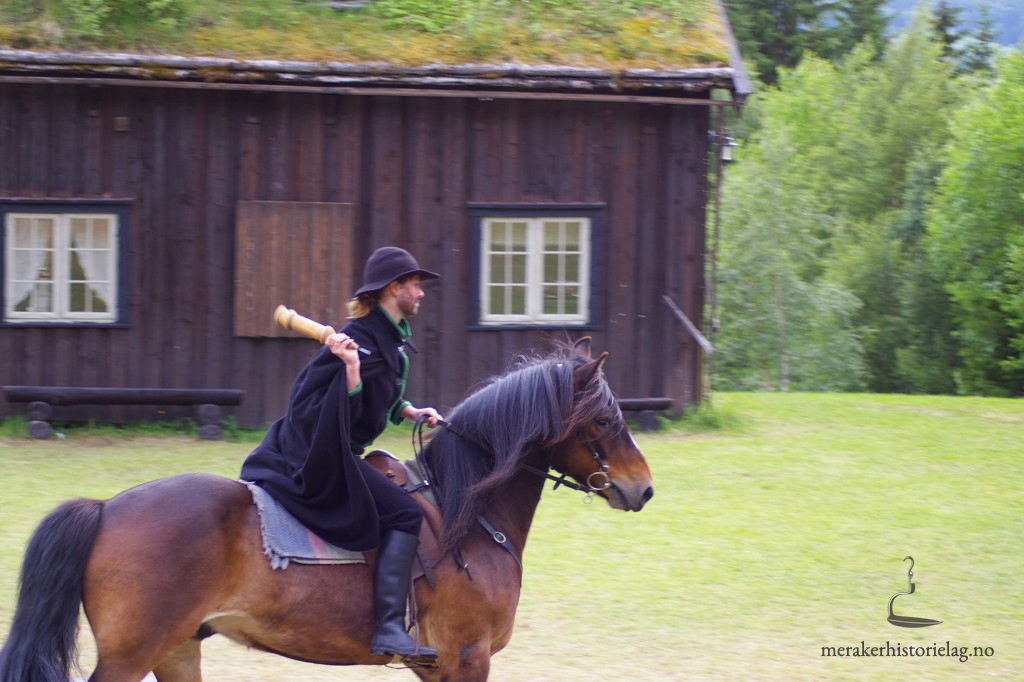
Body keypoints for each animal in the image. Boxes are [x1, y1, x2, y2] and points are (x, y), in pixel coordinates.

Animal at [0, 338, 654, 682]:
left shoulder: (436, 666)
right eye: (603, 420)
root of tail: (106, 509)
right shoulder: (467, 661)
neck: (468, 514)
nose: (643, 489)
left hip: (178, 648)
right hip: (132, 654)